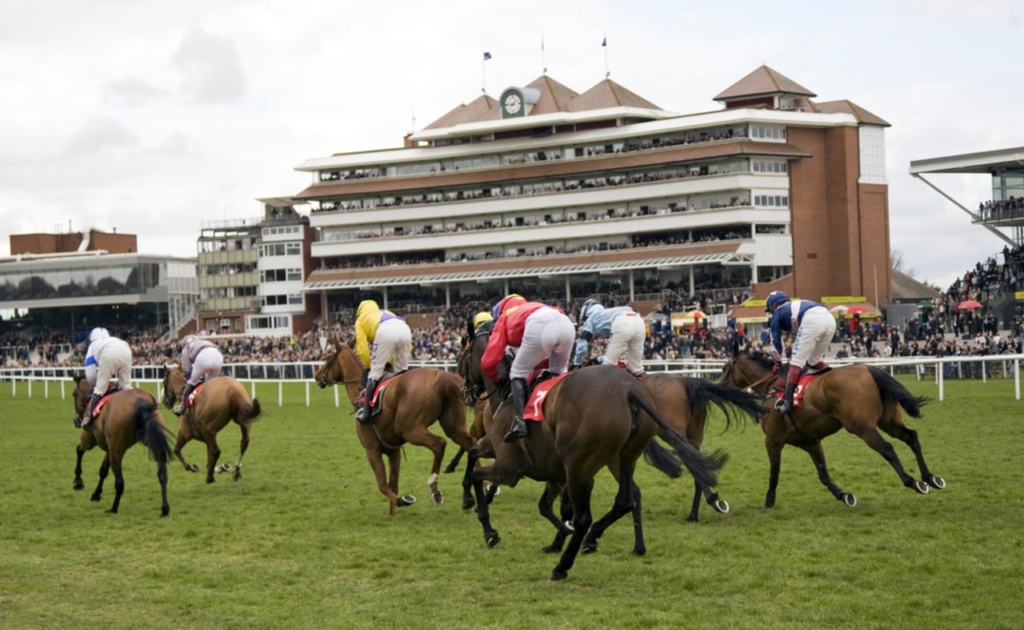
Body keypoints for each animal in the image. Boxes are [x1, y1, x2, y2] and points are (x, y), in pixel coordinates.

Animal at [72, 374, 172, 518]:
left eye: (74, 393)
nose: (76, 420)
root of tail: (140, 400)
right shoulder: (109, 449)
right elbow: (103, 471)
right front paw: (96, 494)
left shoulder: (90, 439)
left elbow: (79, 450)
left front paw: (78, 481)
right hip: (154, 443)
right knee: (162, 474)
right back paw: (165, 508)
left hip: (117, 451)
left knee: (120, 482)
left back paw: (113, 508)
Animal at [313, 336, 477, 518]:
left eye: (328, 357)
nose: (317, 376)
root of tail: (442, 375)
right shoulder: (394, 450)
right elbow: (393, 484)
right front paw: (392, 514)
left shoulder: (371, 450)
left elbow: (383, 484)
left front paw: (402, 500)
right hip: (453, 426)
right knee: (471, 444)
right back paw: (473, 492)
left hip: (410, 429)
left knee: (439, 444)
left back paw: (435, 488)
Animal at [464, 360, 729, 581]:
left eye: (465, 353)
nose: (467, 392)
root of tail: (629, 388)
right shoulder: (554, 474)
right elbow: (546, 504)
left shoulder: (510, 468)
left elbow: (478, 474)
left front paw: (489, 529)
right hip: (623, 458)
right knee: (626, 498)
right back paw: (608, 541)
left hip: (581, 469)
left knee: (586, 517)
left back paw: (563, 565)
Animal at [720, 344, 942, 508]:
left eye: (724, 369)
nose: (719, 385)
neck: (772, 388)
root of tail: (869, 368)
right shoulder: (810, 442)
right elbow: (823, 474)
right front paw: (843, 495)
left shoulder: (773, 441)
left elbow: (774, 472)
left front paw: (768, 500)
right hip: (890, 422)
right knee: (912, 437)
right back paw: (930, 477)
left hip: (862, 427)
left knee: (887, 448)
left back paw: (913, 481)